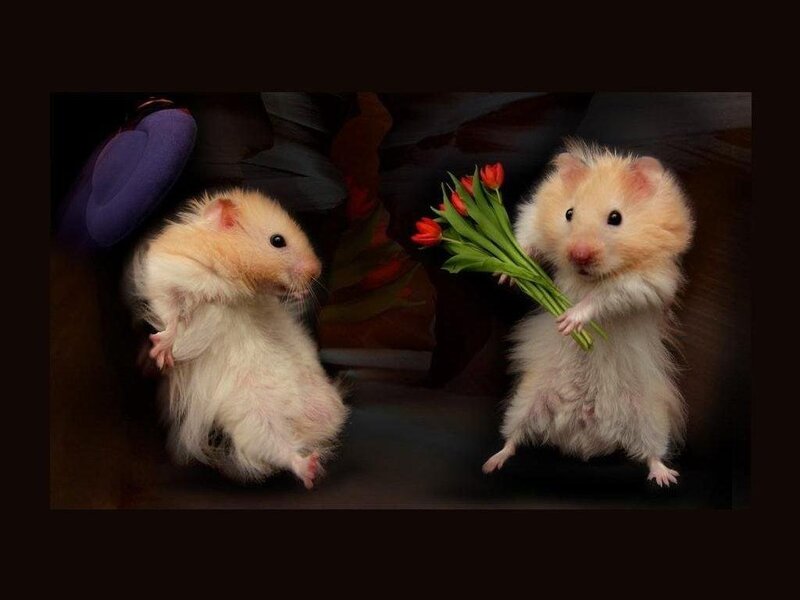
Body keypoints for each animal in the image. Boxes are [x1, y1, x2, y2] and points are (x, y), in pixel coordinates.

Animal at [126, 188, 348, 488]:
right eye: (277, 241)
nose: (317, 270)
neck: (240, 287)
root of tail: (302, 422)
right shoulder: (169, 273)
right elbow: (170, 315)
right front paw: (161, 354)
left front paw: (301, 293)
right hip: (254, 419)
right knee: (282, 451)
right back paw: (310, 470)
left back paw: (316, 459)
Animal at [483, 141, 694, 487]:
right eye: (568, 213)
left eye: (615, 218)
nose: (578, 254)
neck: (589, 276)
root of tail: (584, 439)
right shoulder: (533, 220)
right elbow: (528, 240)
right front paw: (507, 271)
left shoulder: (646, 282)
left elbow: (604, 297)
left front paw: (568, 321)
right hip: (526, 401)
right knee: (513, 437)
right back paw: (492, 463)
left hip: (649, 417)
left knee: (651, 453)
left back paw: (666, 478)